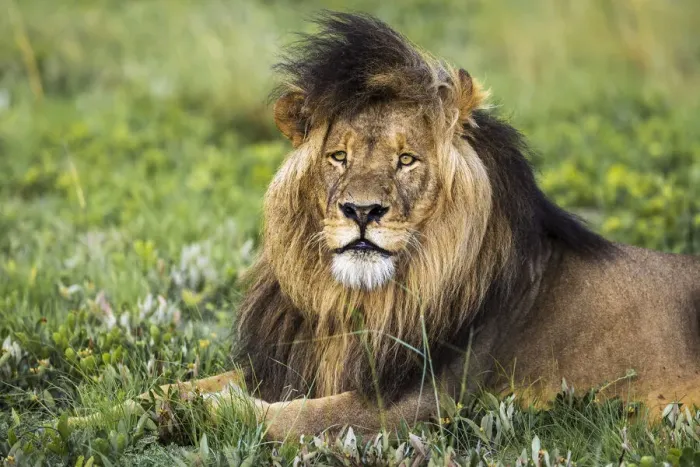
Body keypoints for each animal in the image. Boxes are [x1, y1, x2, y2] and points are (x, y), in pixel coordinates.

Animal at [72, 12, 700, 442]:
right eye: (339, 157)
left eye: (407, 160)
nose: (362, 212)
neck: (359, 304)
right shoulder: (289, 365)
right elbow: (175, 387)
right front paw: (92, 418)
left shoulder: (422, 403)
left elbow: (282, 417)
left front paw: (190, 418)